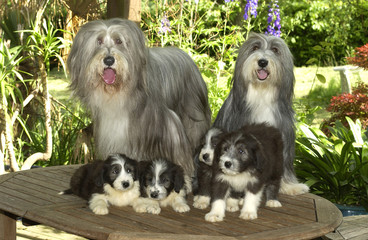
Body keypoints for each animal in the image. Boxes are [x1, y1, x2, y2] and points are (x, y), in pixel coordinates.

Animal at [67, 19, 211, 188]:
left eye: (119, 41)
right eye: (99, 41)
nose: (109, 60)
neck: (119, 93)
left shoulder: (168, 128)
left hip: (193, 119)